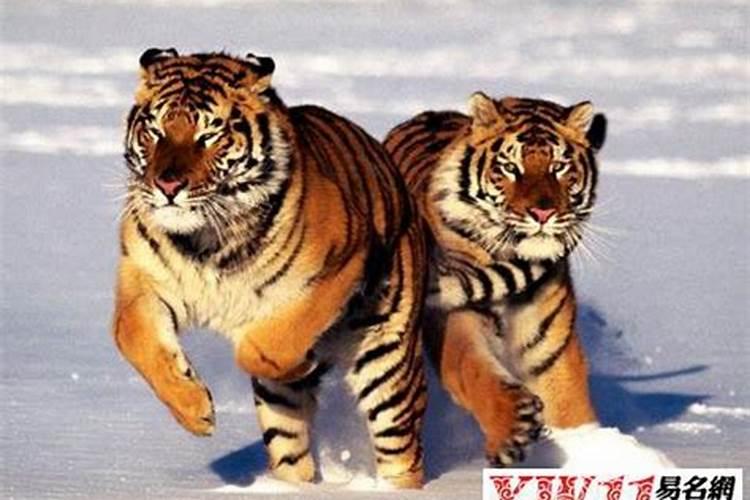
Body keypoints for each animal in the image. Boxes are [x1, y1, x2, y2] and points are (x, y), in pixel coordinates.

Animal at [113, 48, 428, 488]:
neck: (205, 240)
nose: (167, 185)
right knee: (291, 451)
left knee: (402, 450)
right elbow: (132, 338)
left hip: (388, 363)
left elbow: (264, 347)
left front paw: (301, 360)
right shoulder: (144, 280)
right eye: (155, 131)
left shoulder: (337, 265)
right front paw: (195, 411)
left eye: (209, 136)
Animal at [383, 92, 607, 466]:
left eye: (560, 167)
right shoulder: (453, 316)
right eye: (510, 168)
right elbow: (475, 370)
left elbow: (570, 408)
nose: (543, 213)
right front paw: (511, 429)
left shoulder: (552, 353)